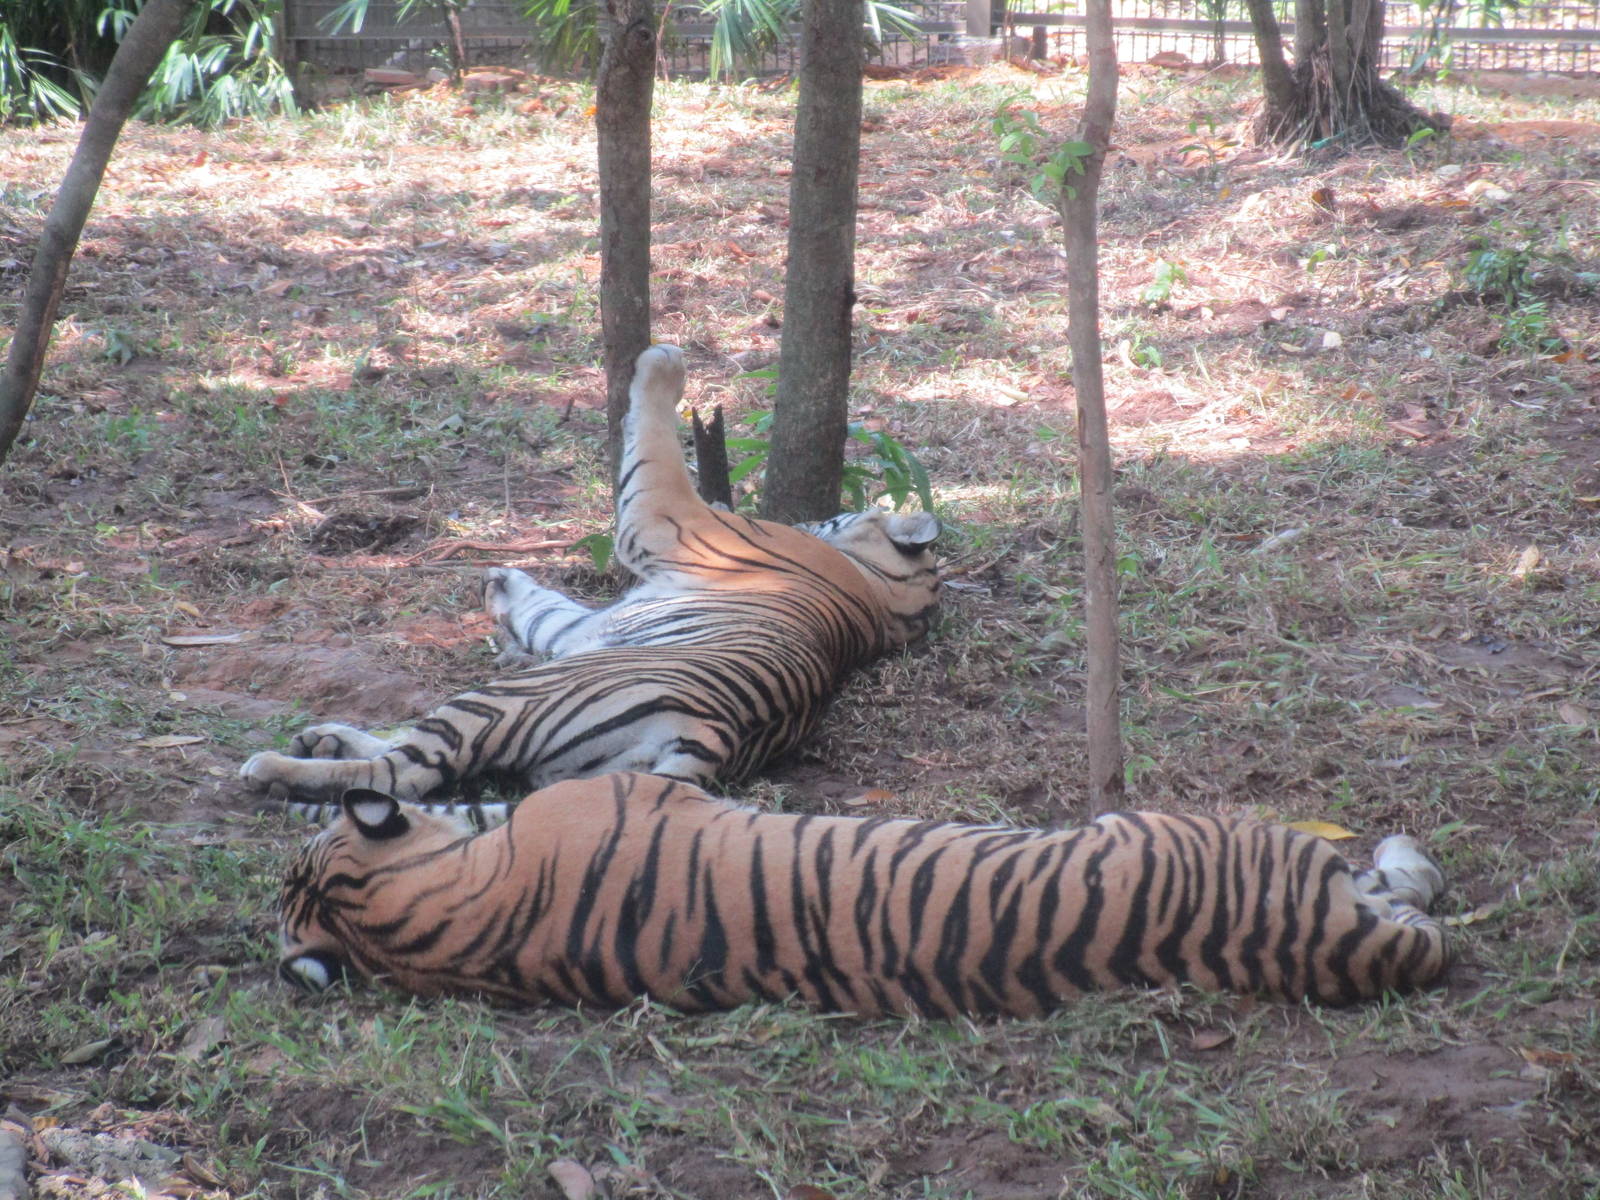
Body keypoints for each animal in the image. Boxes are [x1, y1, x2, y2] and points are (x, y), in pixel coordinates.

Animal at [239, 344, 941, 824]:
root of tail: (715, 738)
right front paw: (500, 581)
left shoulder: (665, 515)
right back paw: (321, 738)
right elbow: (549, 609)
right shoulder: (595, 613)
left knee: (403, 774)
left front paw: (664, 362)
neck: (881, 599)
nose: (814, 517)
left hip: (508, 698)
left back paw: (274, 767)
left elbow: (653, 446)